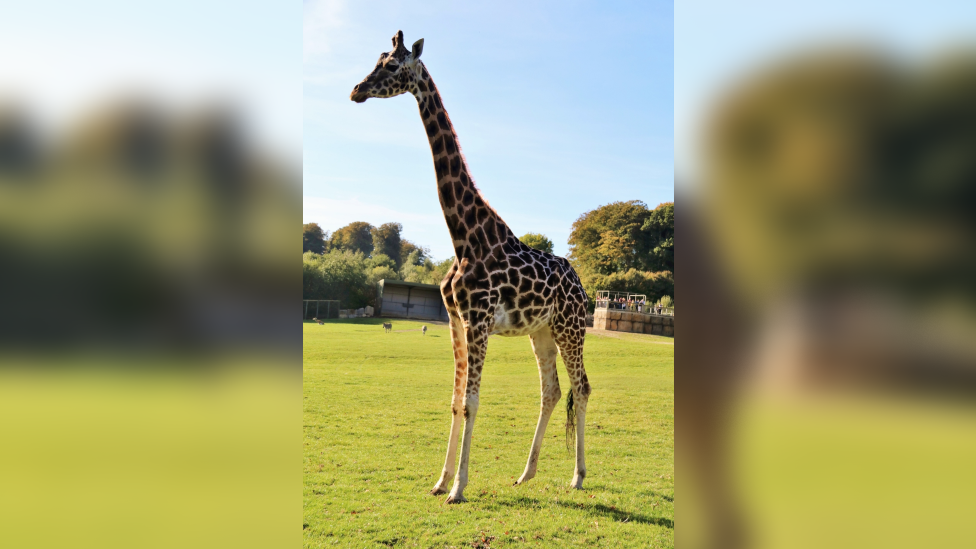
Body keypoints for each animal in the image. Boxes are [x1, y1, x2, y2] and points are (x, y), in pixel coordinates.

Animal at [352, 28, 596, 500]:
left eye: (391, 65)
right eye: (375, 59)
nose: (356, 90)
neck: (463, 236)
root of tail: (581, 285)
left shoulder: (479, 321)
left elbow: (471, 401)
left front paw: (458, 488)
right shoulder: (456, 318)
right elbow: (454, 399)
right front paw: (440, 480)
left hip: (570, 328)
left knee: (581, 386)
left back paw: (577, 476)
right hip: (541, 331)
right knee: (552, 391)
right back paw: (526, 473)